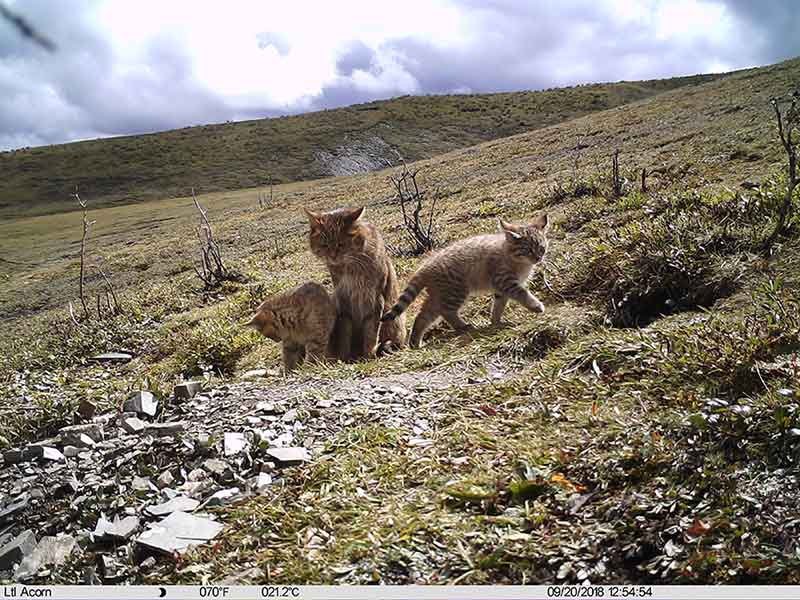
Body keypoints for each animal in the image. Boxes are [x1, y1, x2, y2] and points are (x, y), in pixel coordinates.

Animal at [304, 206, 410, 358]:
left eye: (341, 244)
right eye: (325, 245)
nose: (332, 256)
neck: (351, 267)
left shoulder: (375, 298)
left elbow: (371, 332)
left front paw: (369, 355)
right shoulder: (343, 299)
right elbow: (344, 333)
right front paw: (343, 358)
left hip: (393, 317)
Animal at [382, 214, 552, 346]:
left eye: (541, 248)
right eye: (528, 250)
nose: (538, 258)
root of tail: (426, 266)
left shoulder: (501, 289)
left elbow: (498, 305)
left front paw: (496, 322)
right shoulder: (505, 281)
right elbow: (522, 294)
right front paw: (535, 305)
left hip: (441, 294)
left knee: (423, 316)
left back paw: (415, 342)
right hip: (456, 291)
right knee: (446, 312)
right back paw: (463, 327)